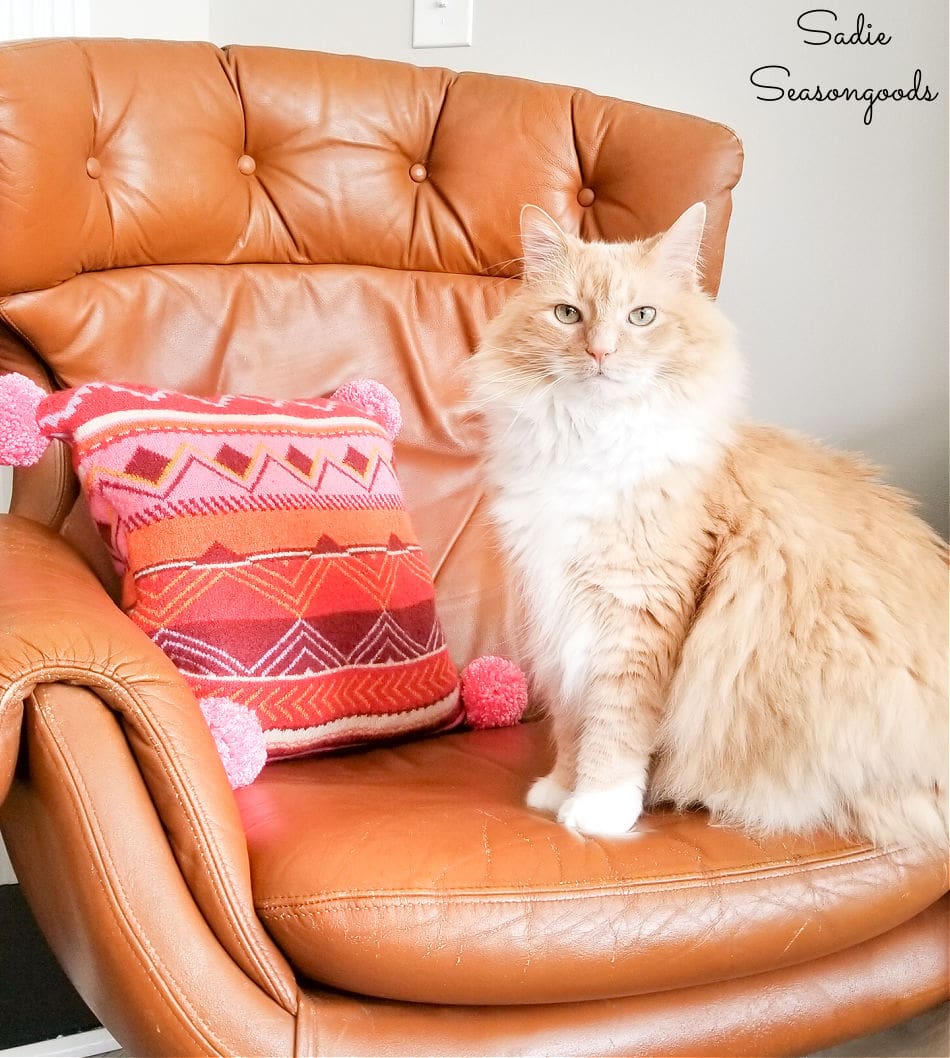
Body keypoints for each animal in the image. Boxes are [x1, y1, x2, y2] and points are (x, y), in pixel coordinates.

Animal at [469, 204, 943, 850]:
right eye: (568, 314)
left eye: (641, 317)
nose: (600, 353)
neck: (592, 442)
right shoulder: (556, 609)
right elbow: (572, 721)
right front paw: (561, 788)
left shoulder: (637, 615)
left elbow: (614, 726)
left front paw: (598, 808)